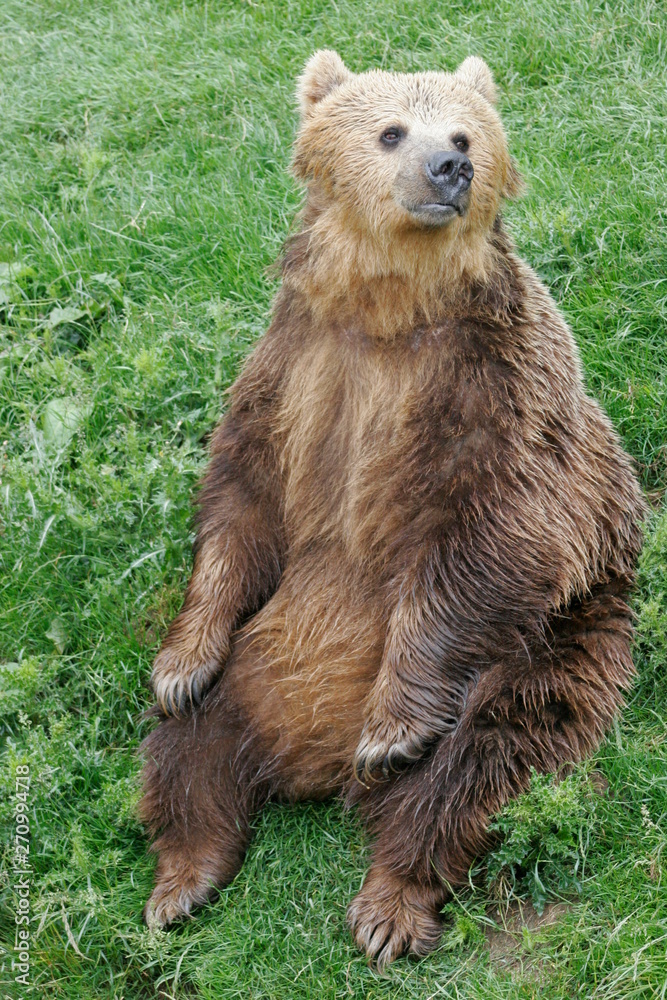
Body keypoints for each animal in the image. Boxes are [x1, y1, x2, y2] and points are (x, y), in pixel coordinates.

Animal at [140, 50, 647, 968]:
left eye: (465, 132)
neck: (388, 313)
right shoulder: (290, 371)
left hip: (552, 648)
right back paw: (181, 879)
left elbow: (492, 538)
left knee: (482, 763)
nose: (449, 168)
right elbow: (240, 501)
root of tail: (305, 763)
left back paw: (389, 901)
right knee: (183, 754)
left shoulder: (496, 390)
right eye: (389, 130)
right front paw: (178, 664)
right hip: (252, 668)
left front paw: (391, 726)